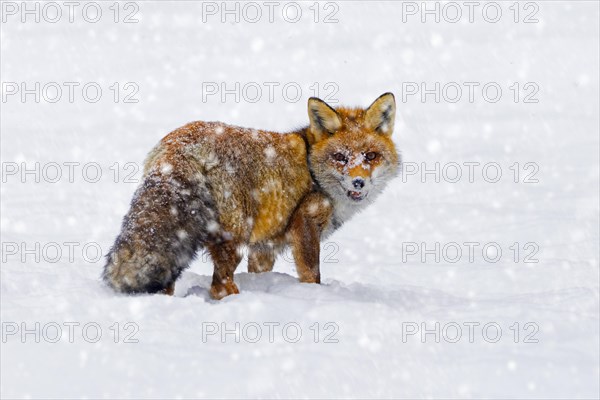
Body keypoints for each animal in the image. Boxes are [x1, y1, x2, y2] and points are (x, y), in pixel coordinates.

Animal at [104, 94, 398, 298]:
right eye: (340, 157)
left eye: (370, 156)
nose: (359, 182)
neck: (312, 169)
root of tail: (179, 146)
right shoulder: (304, 223)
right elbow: (311, 273)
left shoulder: (265, 245)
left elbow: (259, 270)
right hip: (235, 235)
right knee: (219, 286)